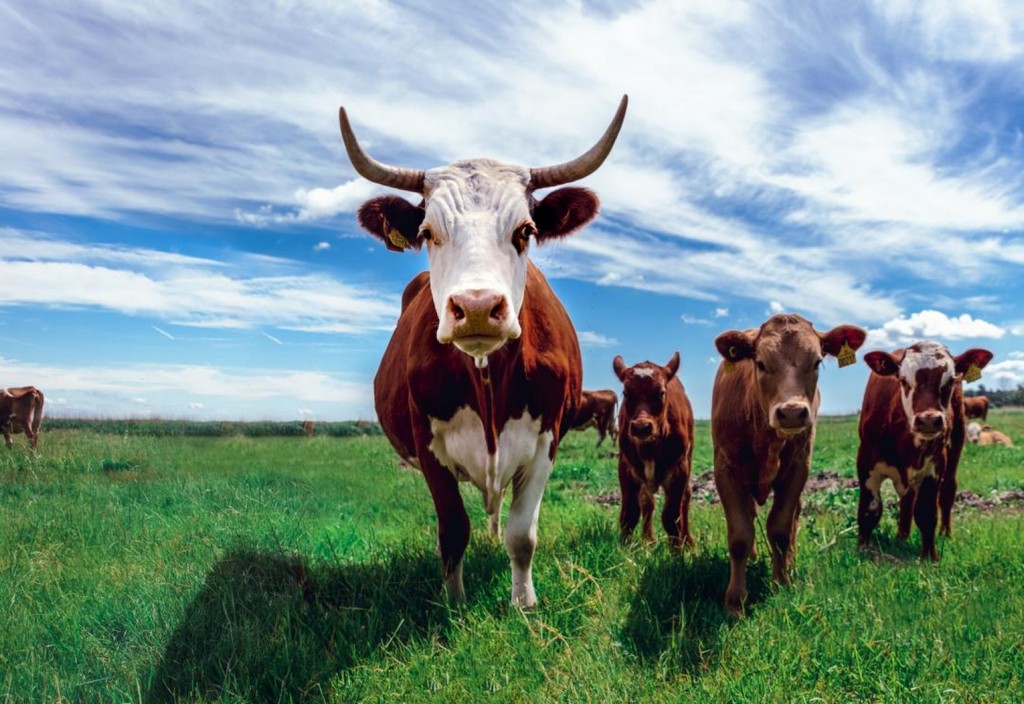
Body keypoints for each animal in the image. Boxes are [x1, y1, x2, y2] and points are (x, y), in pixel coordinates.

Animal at [341, 96, 627, 606]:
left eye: (526, 230)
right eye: (428, 232)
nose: (476, 307)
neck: (488, 377)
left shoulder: (546, 441)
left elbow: (522, 534)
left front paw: (523, 602)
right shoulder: (427, 445)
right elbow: (453, 530)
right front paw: (454, 602)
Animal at [613, 352, 695, 551]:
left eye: (661, 393)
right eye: (626, 393)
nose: (641, 427)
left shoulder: (679, 469)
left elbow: (671, 517)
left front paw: (677, 552)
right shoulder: (626, 467)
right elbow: (629, 514)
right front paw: (626, 549)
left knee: (686, 498)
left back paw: (688, 541)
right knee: (647, 502)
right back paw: (648, 540)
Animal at [711, 314, 866, 615]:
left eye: (817, 362)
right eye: (760, 362)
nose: (792, 412)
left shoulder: (797, 469)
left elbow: (781, 529)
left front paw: (781, 583)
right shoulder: (725, 470)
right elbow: (740, 535)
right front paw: (735, 600)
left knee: (794, 518)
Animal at [856, 341, 993, 561]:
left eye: (950, 380)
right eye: (903, 380)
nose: (929, 419)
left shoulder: (934, 465)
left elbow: (926, 513)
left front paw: (930, 557)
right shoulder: (866, 461)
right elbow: (870, 510)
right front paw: (863, 550)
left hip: (957, 441)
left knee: (947, 492)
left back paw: (945, 534)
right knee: (907, 499)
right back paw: (901, 536)